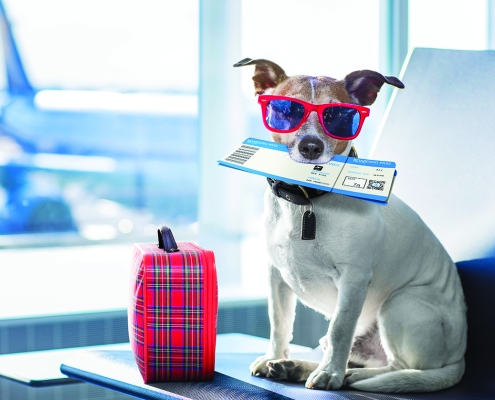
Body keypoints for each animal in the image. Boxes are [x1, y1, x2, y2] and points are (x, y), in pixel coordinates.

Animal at [234, 57, 466, 392]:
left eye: (340, 115)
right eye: (287, 110)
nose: (311, 147)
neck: (306, 201)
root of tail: (459, 358)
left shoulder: (353, 280)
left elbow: (340, 329)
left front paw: (330, 374)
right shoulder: (275, 276)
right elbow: (279, 323)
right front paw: (274, 357)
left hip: (399, 303)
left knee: (394, 366)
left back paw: (347, 376)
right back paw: (295, 366)